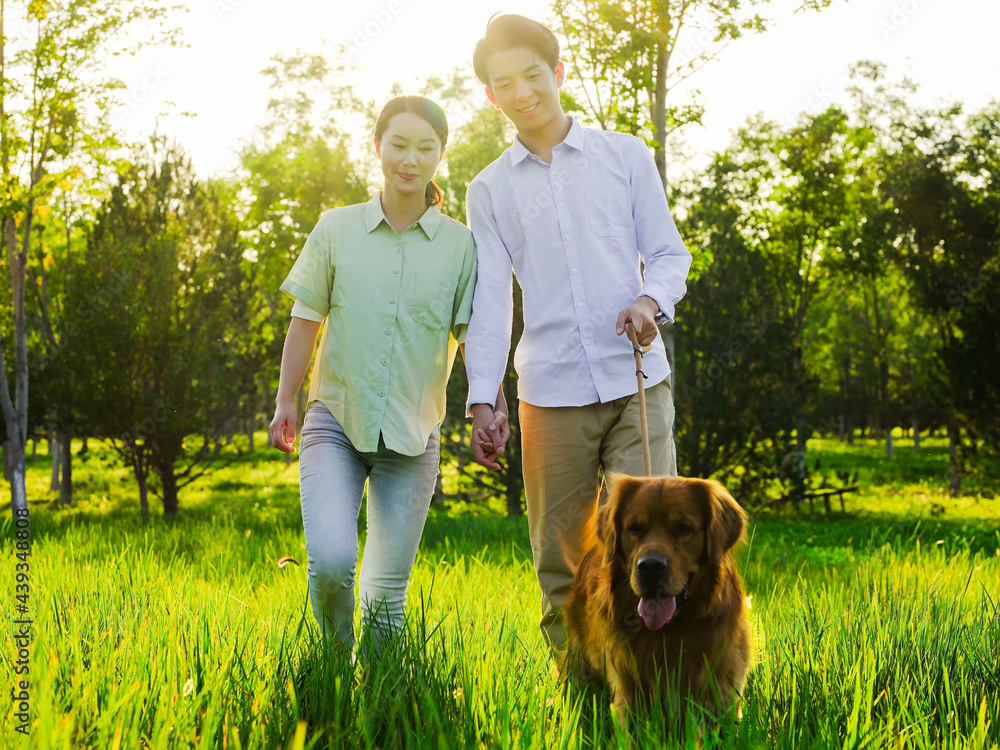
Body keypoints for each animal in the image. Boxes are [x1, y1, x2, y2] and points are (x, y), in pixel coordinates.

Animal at [564, 476, 752, 724]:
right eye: (634, 528)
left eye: (684, 528)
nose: (650, 567)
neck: (670, 630)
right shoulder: (629, 686)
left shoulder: (721, 685)